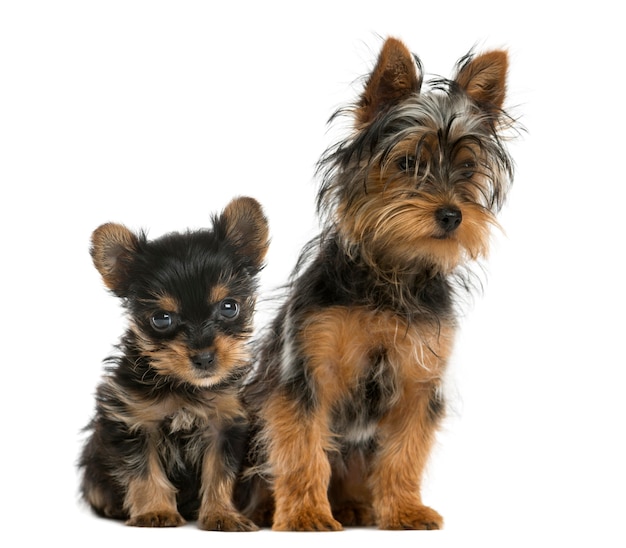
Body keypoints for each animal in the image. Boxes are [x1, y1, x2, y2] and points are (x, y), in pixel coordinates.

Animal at [78, 197, 266, 532]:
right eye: (161, 319)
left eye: (229, 307)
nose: (204, 356)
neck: (183, 386)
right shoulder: (133, 419)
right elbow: (144, 471)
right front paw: (154, 511)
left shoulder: (224, 423)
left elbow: (220, 473)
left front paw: (222, 515)